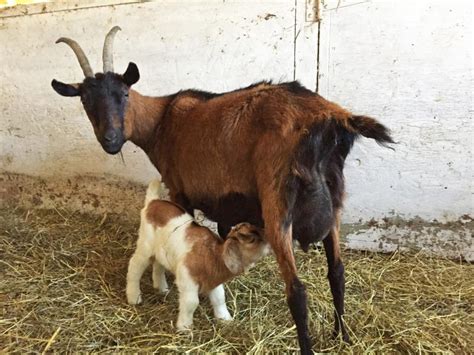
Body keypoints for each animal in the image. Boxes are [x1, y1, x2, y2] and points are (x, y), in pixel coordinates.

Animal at [51, 27, 394, 354]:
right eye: (84, 100)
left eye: (123, 92)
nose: (110, 139)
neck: (163, 120)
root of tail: (331, 119)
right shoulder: (226, 205)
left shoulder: (180, 191)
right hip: (334, 204)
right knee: (337, 272)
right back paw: (342, 336)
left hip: (278, 204)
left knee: (297, 291)